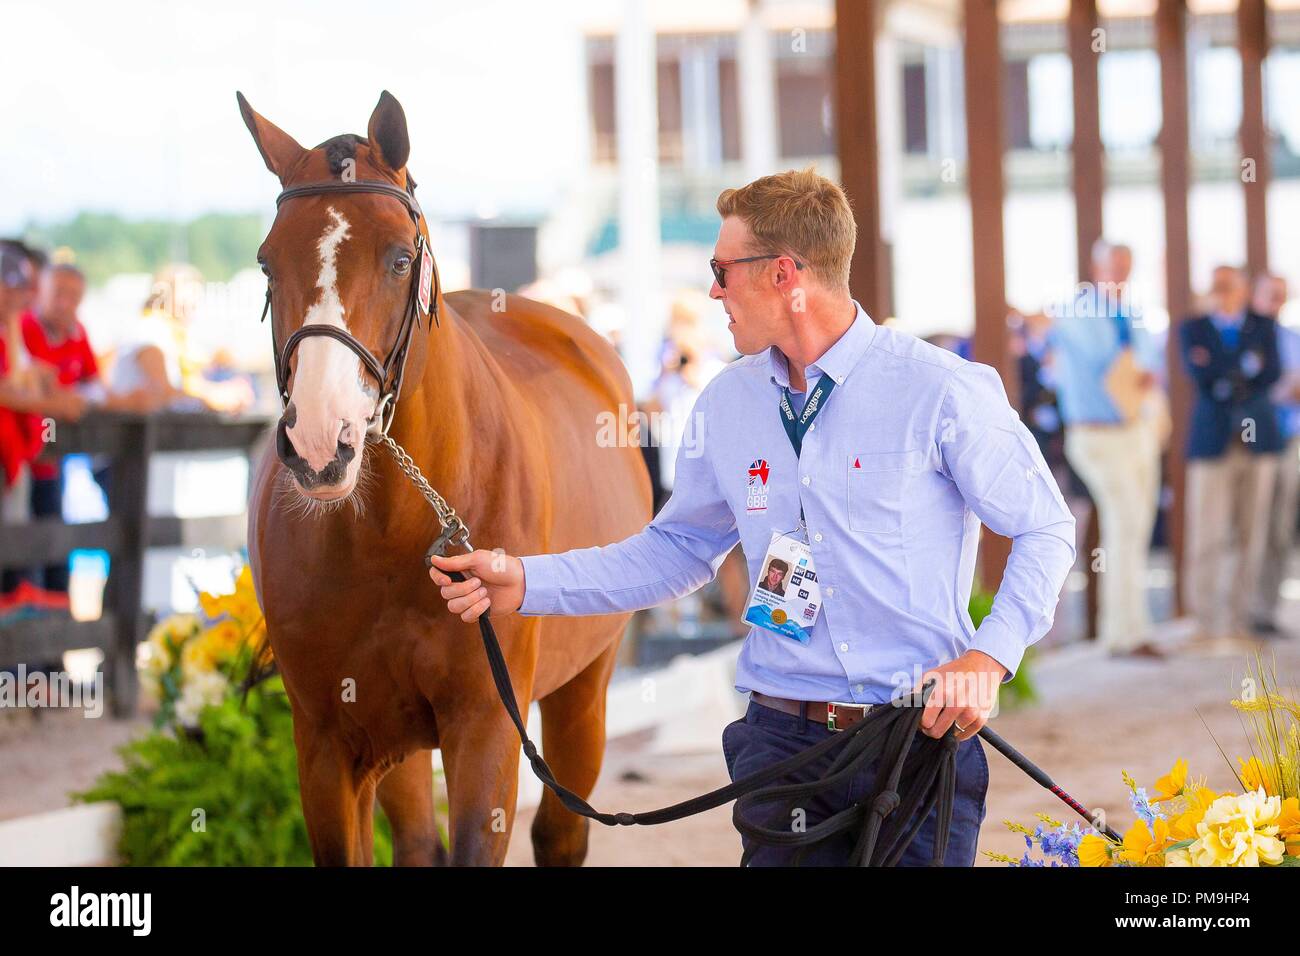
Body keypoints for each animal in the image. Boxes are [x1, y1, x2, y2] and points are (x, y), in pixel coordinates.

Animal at [237, 91, 650, 868]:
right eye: (268, 264)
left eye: (400, 259)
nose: (319, 443)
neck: (391, 536)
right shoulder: (329, 745)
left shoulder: (485, 730)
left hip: (584, 688)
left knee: (560, 831)